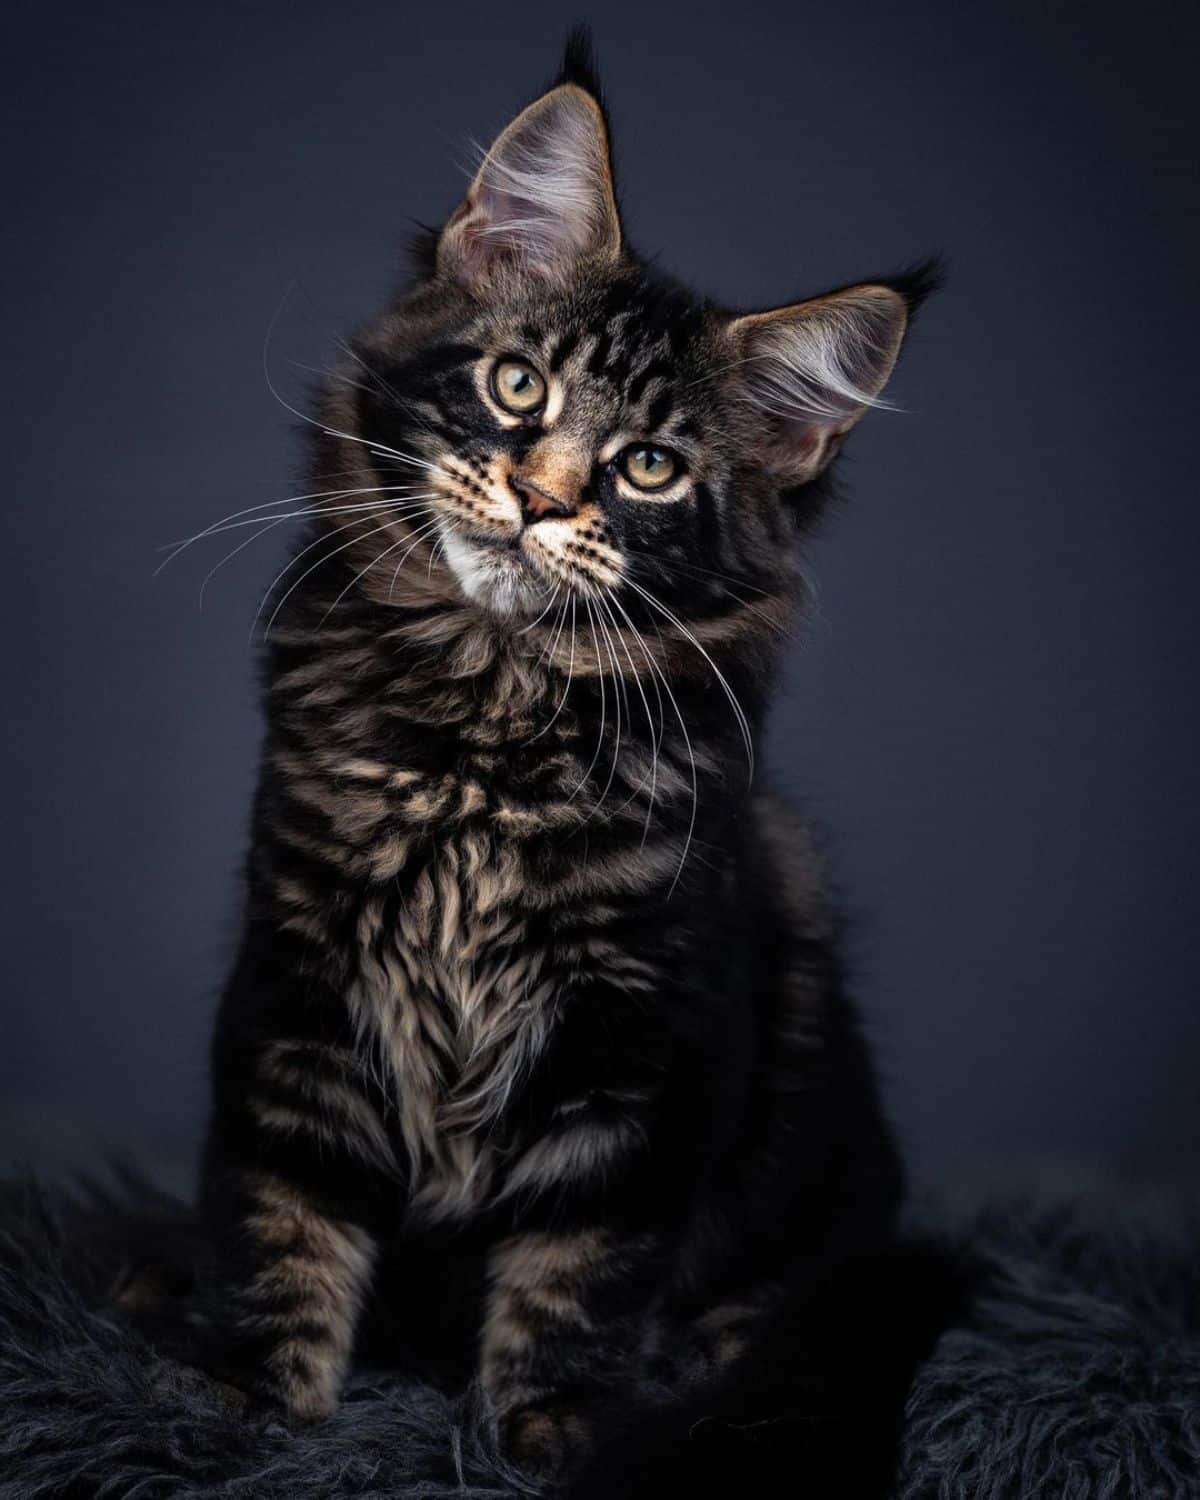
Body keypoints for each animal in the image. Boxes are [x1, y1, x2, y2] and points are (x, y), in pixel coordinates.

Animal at [199, 29, 936, 1482]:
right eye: (518, 385)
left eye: (649, 467)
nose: (541, 498)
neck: (481, 741)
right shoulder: (300, 976)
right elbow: (283, 1214)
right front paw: (258, 1403)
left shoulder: (640, 1040)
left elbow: (579, 1264)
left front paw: (552, 1429)